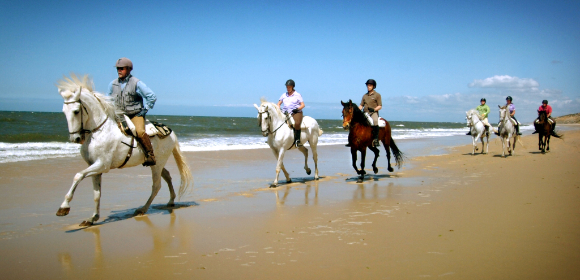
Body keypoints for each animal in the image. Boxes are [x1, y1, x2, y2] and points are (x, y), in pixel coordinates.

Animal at [54, 74, 191, 225]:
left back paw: (142, 209)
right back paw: (170, 201)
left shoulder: (102, 165)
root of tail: (171, 133)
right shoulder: (94, 167)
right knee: (166, 175)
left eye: (76, 111)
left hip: (158, 163)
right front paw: (93, 218)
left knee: (156, 185)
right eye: (64, 112)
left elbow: (78, 176)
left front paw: (63, 207)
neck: (99, 130)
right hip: (155, 163)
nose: (76, 138)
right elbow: (96, 194)